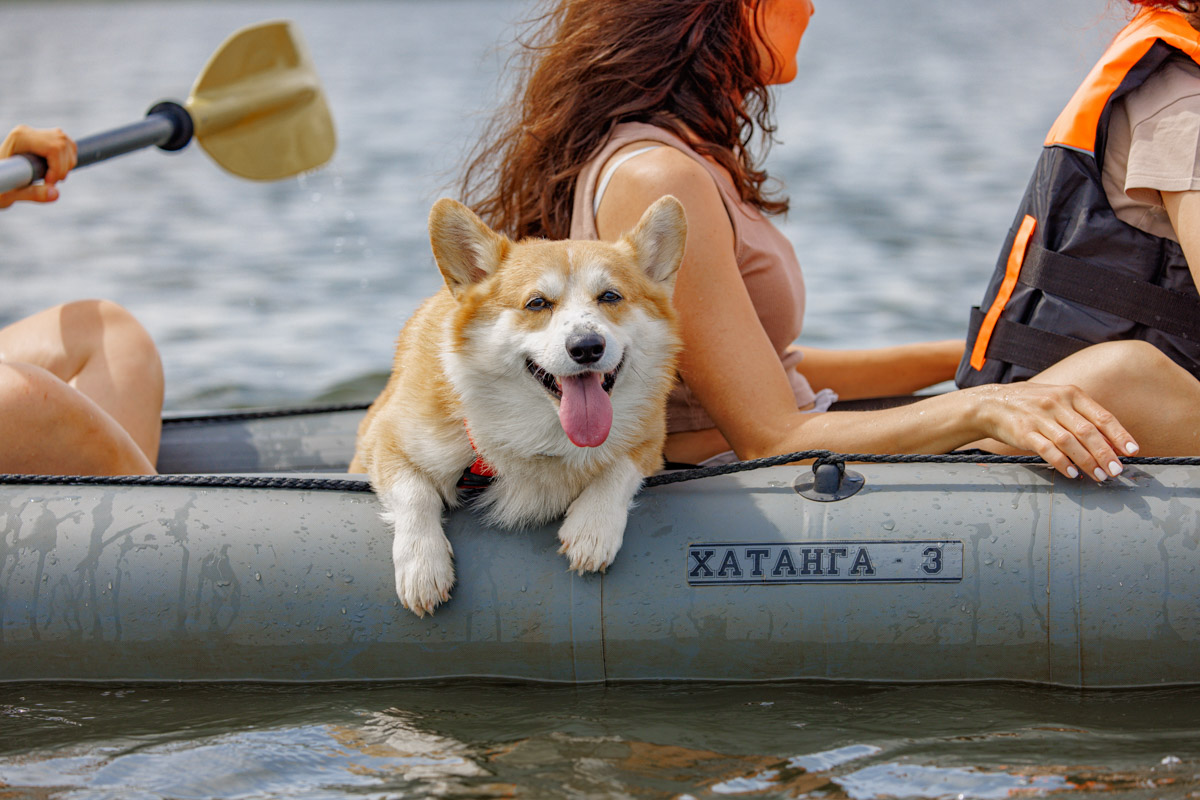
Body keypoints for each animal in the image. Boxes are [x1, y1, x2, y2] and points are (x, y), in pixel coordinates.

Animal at [348, 195, 686, 618]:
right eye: (537, 303)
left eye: (610, 296)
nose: (587, 347)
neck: (542, 435)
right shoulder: (386, 441)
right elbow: (415, 492)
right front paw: (423, 567)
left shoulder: (650, 441)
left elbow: (621, 468)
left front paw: (592, 528)